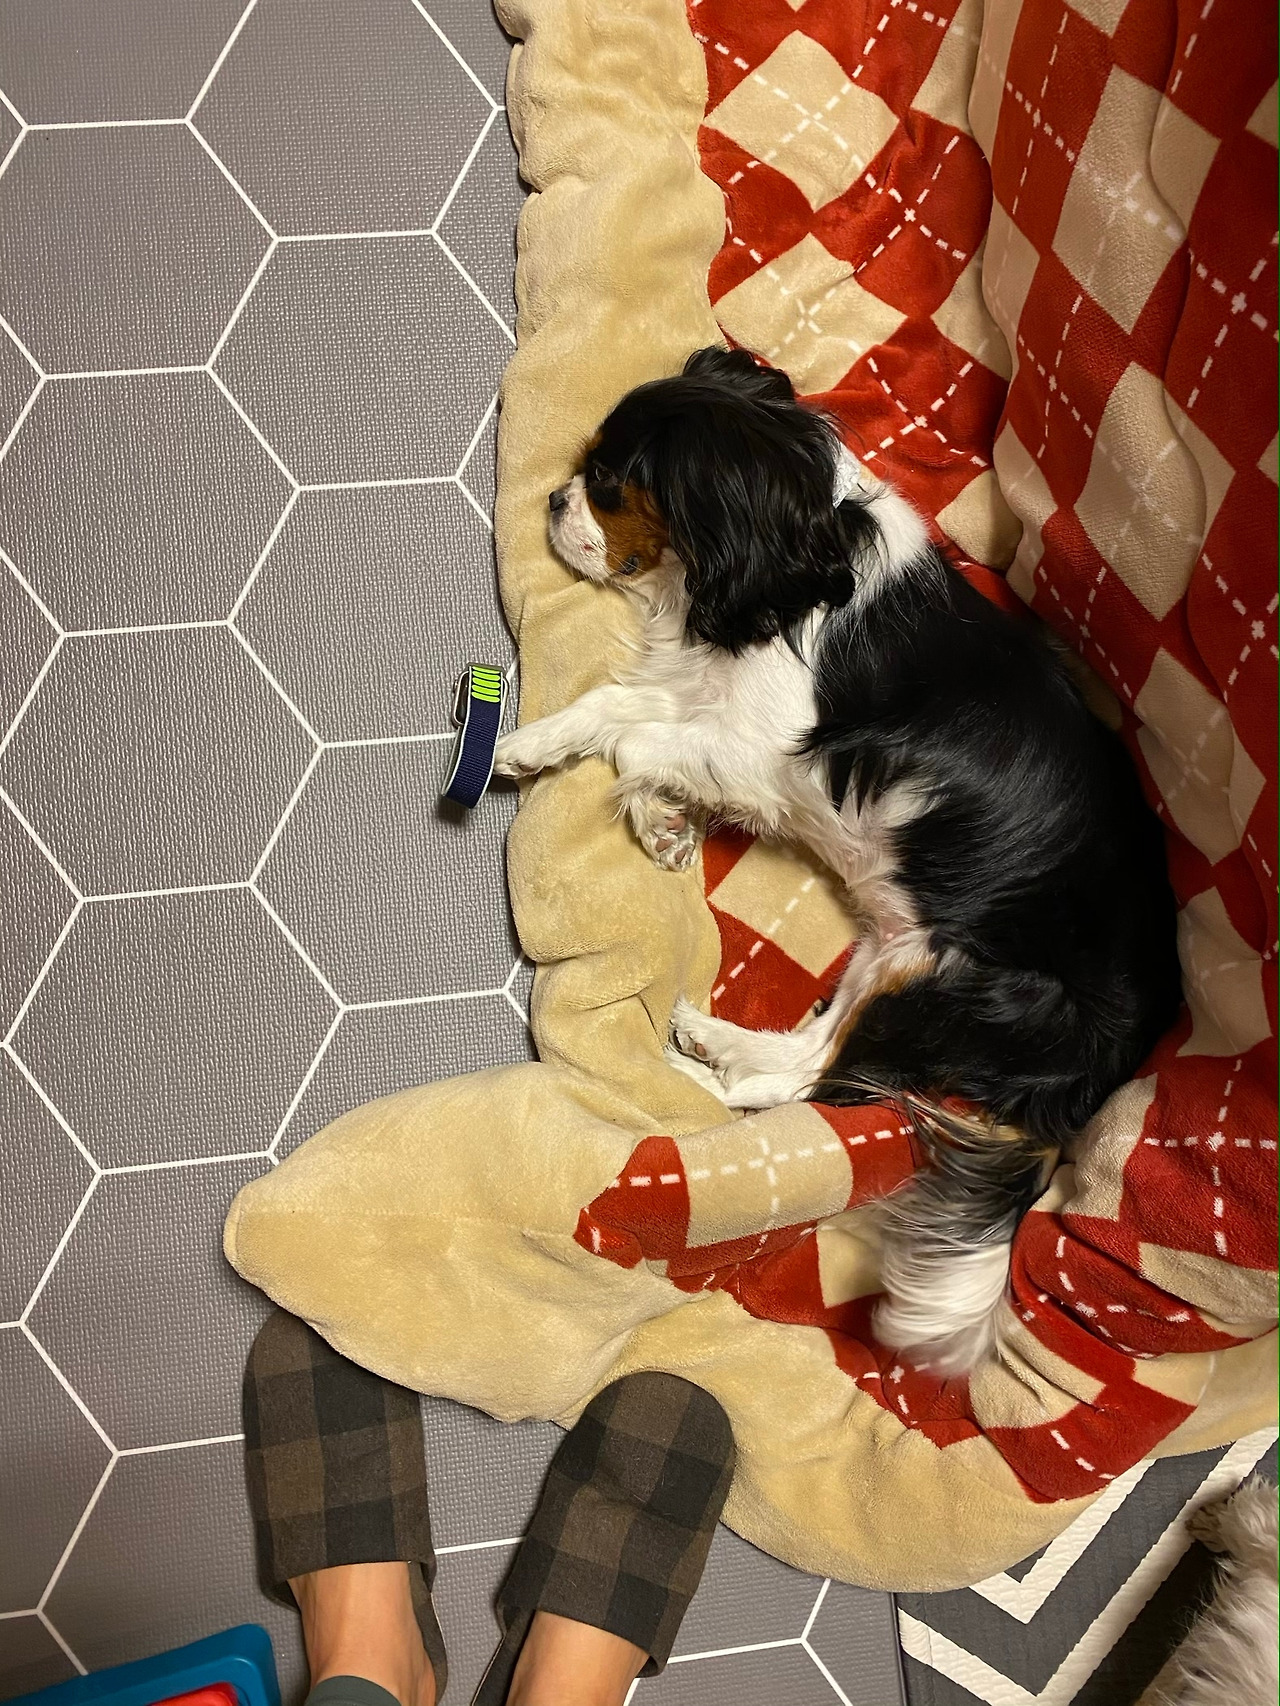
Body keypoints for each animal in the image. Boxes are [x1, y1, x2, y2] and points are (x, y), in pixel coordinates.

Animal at [495, 347, 1182, 1374]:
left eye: (609, 482)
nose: (550, 499)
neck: (784, 570)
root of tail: (1110, 1068)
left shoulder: (762, 749)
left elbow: (634, 741)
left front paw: (649, 802)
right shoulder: (703, 697)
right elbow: (612, 707)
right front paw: (554, 755)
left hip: (953, 984)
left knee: (812, 1085)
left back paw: (694, 1092)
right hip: (896, 954)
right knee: (809, 1052)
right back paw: (712, 1039)